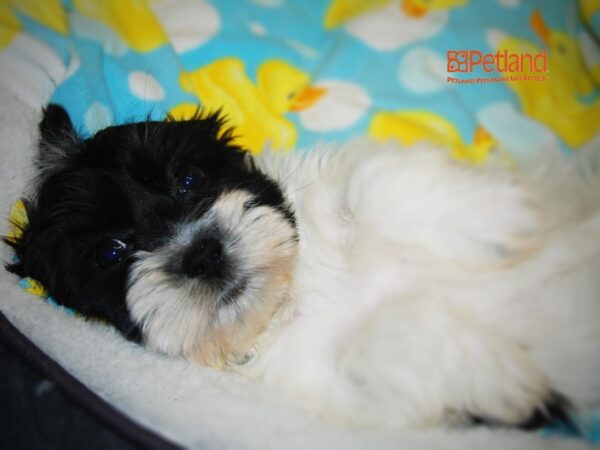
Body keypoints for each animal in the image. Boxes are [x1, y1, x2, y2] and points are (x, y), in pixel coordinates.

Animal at [4, 104, 600, 428]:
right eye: (110, 253)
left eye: (191, 179)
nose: (202, 253)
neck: (294, 294)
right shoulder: (335, 390)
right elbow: (373, 346)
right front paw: (499, 373)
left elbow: (371, 180)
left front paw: (498, 217)